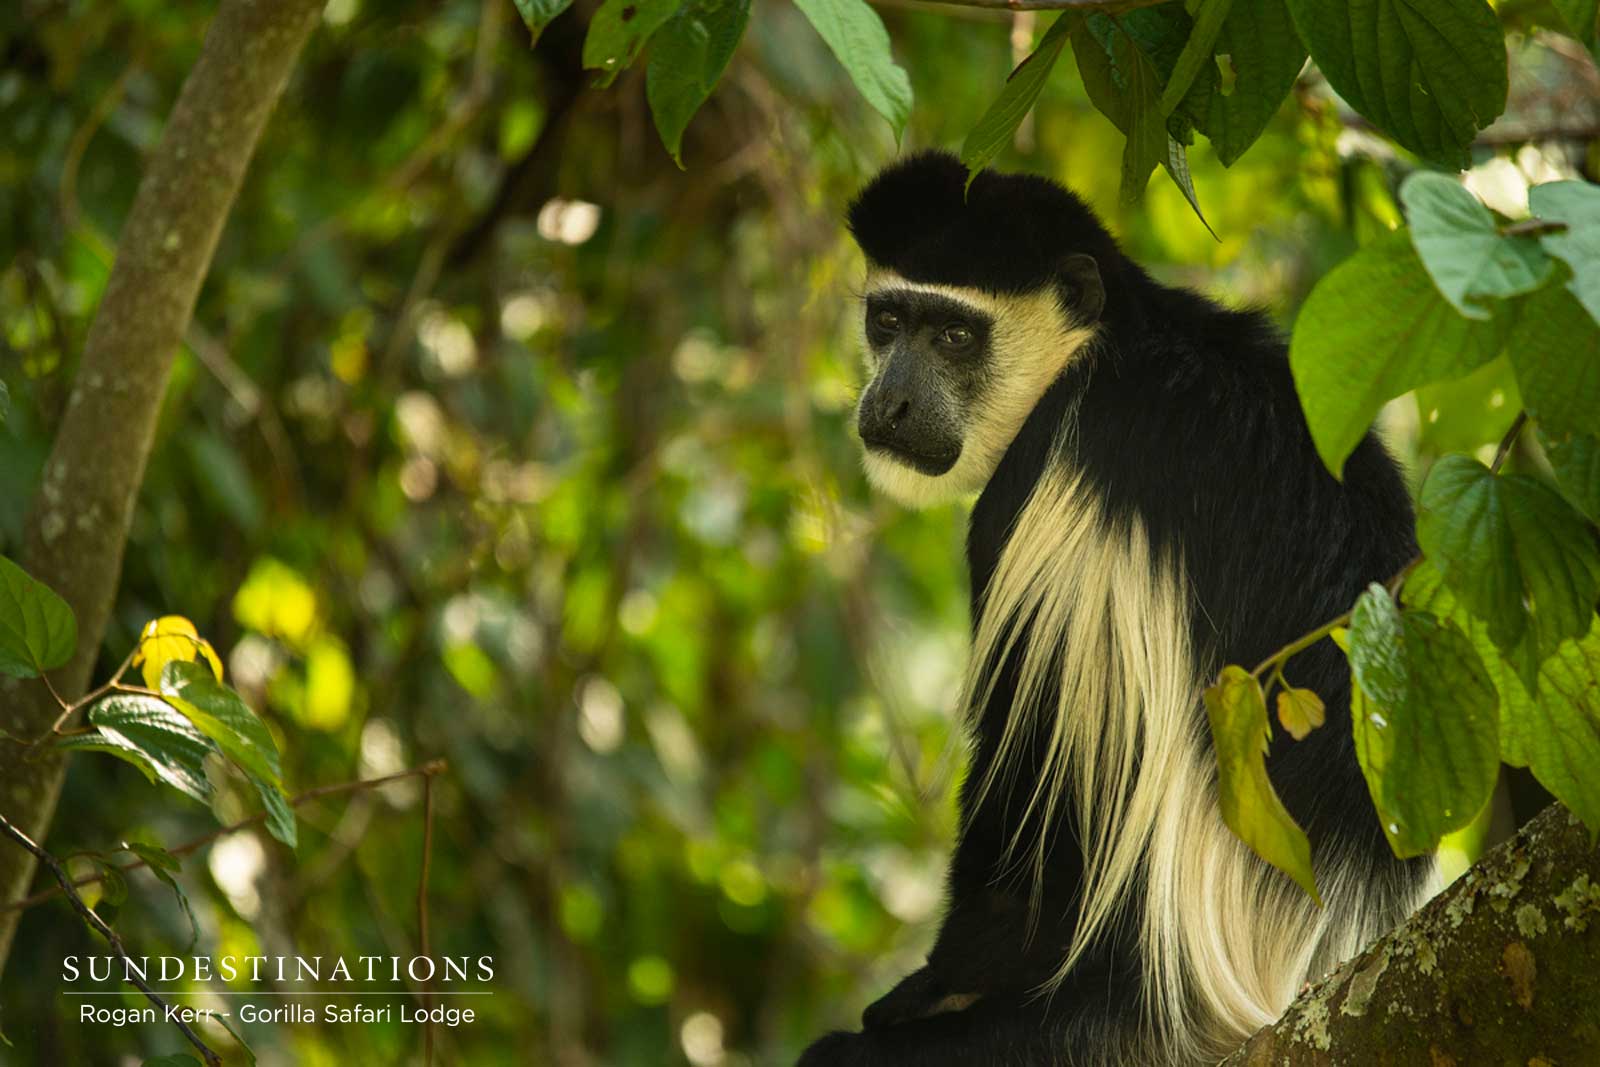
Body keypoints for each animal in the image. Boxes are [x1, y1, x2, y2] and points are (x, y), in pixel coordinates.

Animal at [796, 152, 1437, 1066]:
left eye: (956, 335)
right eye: (887, 320)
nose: (890, 405)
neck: (1106, 342)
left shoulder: (1043, 479)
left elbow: (1026, 789)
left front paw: (920, 991)